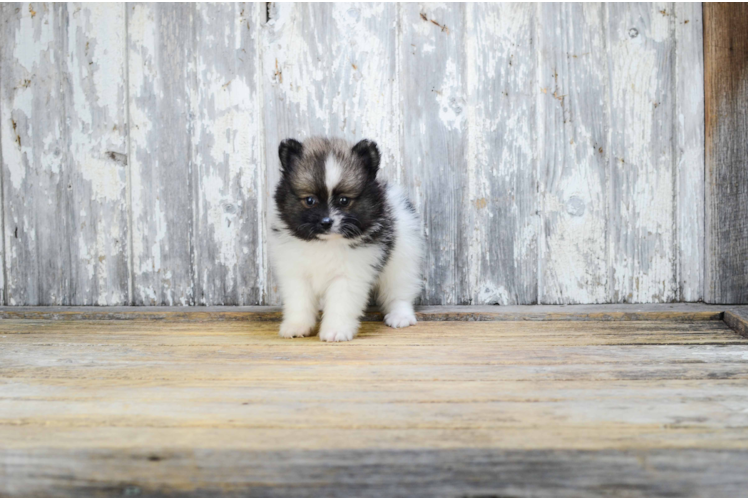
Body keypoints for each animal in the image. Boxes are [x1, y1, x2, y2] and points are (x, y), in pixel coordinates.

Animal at [268, 137, 424, 342]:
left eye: (344, 201)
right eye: (310, 200)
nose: (326, 222)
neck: (325, 243)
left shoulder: (349, 275)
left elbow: (341, 304)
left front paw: (335, 330)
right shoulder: (296, 273)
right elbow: (299, 302)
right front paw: (296, 326)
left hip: (402, 259)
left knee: (399, 291)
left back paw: (400, 316)